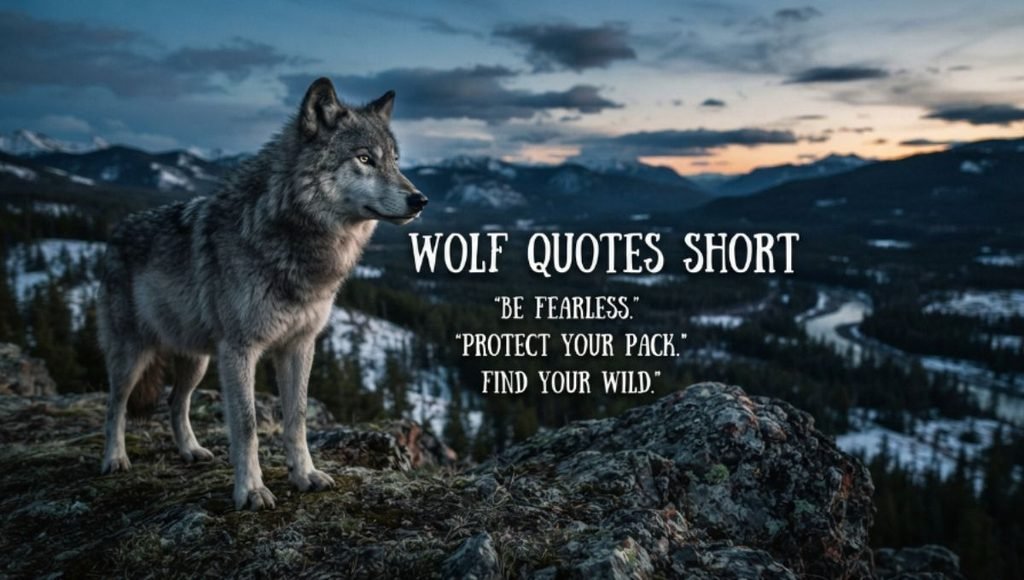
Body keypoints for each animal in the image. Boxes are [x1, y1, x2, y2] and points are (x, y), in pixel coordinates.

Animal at [97, 77, 427, 510]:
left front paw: (304, 475)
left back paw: (191, 451)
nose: (420, 199)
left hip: (199, 360)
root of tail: (116, 232)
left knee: (175, 402)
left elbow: (297, 417)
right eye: (364, 159)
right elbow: (247, 424)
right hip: (133, 354)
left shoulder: (299, 345)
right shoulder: (241, 350)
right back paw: (115, 458)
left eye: (395, 161)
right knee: (115, 405)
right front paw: (251, 491)